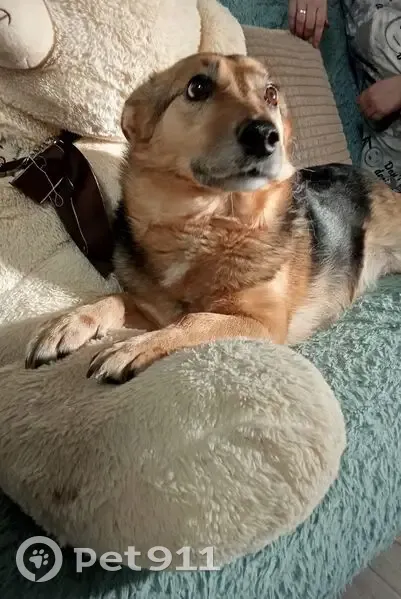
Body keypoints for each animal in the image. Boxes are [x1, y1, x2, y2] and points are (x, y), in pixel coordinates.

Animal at [25, 53, 401, 383]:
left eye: (271, 94)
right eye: (198, 87)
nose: (265, 135)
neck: (206, 224)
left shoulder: (261, 322)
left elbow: (196, 320)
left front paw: (134, 348)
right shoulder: (153, 307)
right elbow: (118, 298)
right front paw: (69, 322)